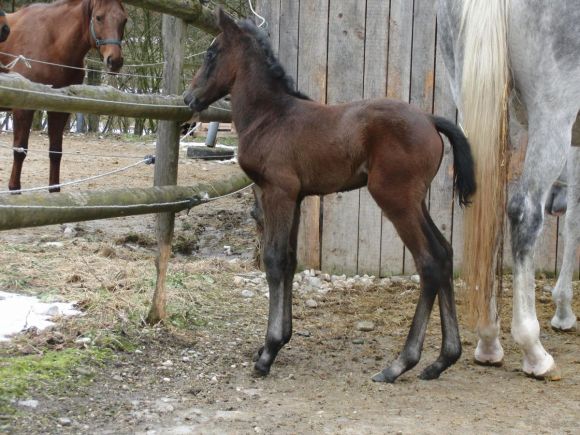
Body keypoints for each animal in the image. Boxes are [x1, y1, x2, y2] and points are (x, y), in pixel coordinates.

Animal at [0, 0, 127, 192]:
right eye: (99, 17)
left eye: (124, 20)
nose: (115, 61)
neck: (53, 43)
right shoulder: (23, 109)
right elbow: (20, 150)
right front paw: (15, 189)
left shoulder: (60, 109)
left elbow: (55, 152)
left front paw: (55, 190)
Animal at [186, 9, 476, 384]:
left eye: (211, 53)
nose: (189, 99)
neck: (270, 116)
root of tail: (429, 118)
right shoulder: (296, 197)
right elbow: (290, 260)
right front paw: (280, 340)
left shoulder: (276, 192)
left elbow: (274, 260)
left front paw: (268, 352)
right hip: (415, 201)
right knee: (445, 253)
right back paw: (442, 360)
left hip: (395, 199)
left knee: (428, 260)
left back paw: (400, 363)